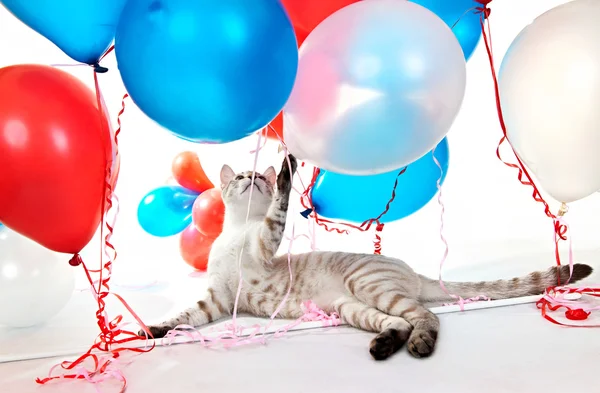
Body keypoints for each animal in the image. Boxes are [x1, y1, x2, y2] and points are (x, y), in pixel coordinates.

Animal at [142, 153, 596, 358]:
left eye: (260, 179)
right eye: (240, 177)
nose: (253, 177)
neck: (237, 232)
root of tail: (411, 270)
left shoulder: (266, 242)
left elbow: (279, 208)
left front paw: (287, 165)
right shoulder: (217, 299)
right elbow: (182, 318)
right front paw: (152, 331)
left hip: (368, 287)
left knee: (425, 317)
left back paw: (417, 345)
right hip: (350, 306)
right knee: (400, 323)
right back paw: (383, 346)